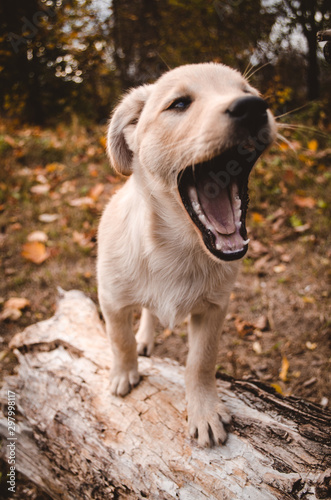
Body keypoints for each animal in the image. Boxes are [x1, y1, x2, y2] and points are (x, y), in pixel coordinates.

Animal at [96, 60, 278, 448]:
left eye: (248, 91)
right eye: (179, 104)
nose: (253, 107)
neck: (178, 248)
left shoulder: (214, 309)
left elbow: (201, 362)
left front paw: (204, 410)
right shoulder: (111, 299)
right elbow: (119, 340)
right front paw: (124, 374)